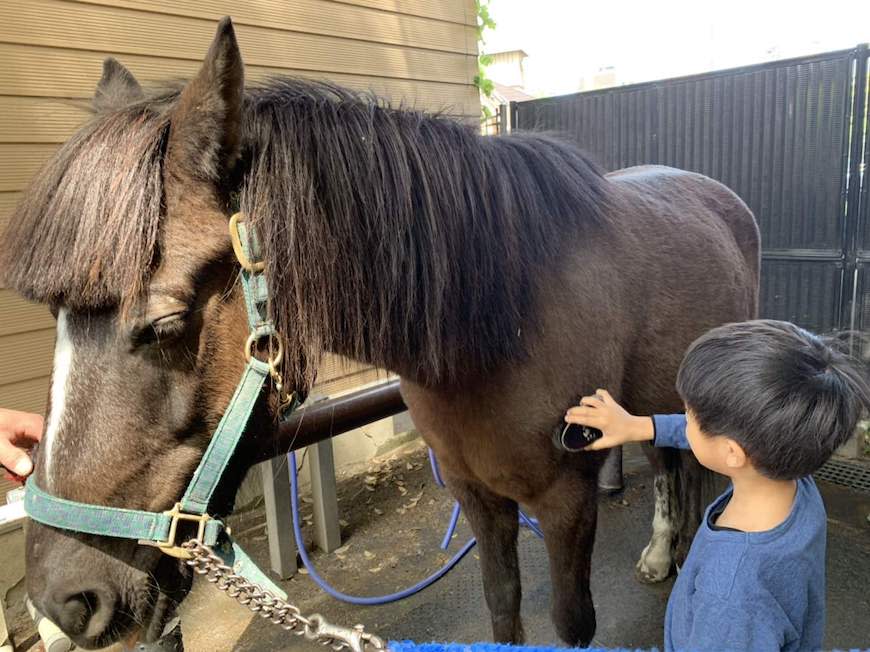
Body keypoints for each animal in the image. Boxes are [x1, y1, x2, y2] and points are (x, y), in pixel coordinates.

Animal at [1, 17, 756, 648]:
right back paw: (661, 552)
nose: (60, 604)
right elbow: (502, 603)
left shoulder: (566, 504)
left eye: (164, 323)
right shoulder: (475, 495)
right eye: (55, 322)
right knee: (667, 462)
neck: (503, 321)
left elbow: (572, 621)